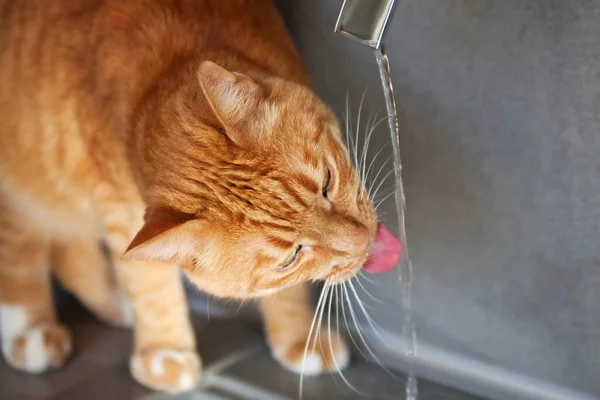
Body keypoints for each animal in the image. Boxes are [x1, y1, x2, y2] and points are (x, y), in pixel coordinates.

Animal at [1, 0, 404, 394]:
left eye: (327, 182)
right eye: (291, 257)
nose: (363, 241)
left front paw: (299, 337)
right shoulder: (121, 211)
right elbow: (149, 283)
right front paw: (165, 352)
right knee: (23, 258)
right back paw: (33, 331)